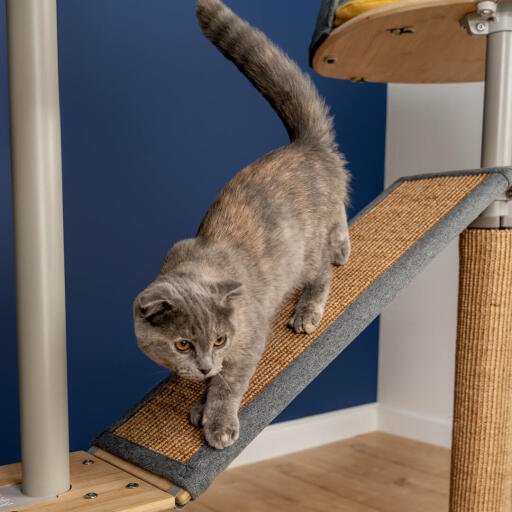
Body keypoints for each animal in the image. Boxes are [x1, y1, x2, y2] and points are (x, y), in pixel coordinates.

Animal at [132, 0, 350, 448]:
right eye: (183, 344)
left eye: (219, 338)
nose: (203, 364)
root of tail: (305, 144)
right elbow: (215, 379)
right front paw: (201, 398)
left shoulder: (248, 340)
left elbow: (229, 383)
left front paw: (216, 421)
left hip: (305, 250)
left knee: (322, 269)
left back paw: (311, 305)